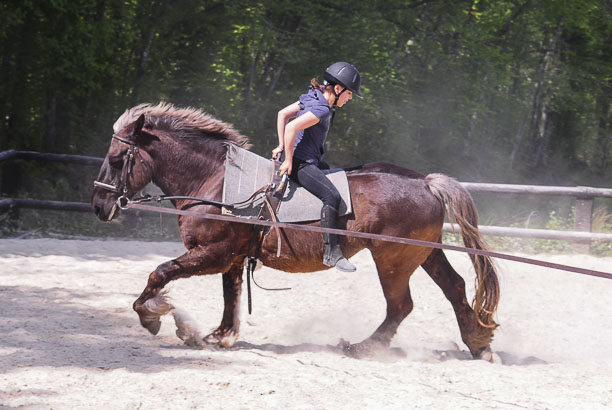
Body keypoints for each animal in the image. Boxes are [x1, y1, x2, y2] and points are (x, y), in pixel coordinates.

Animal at [92, 103, 502, 362]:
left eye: (116, 159)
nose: (98, 205)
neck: (216, 183)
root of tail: (425, 182)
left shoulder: (212, 253)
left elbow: (159, 272)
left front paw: (154, 315)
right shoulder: (232, 259)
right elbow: (230, 297)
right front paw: (218, 336)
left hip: (393, 259)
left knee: (401, 306)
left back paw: (362, 348)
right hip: (423, 252)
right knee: (454, 288)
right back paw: (478, 343)